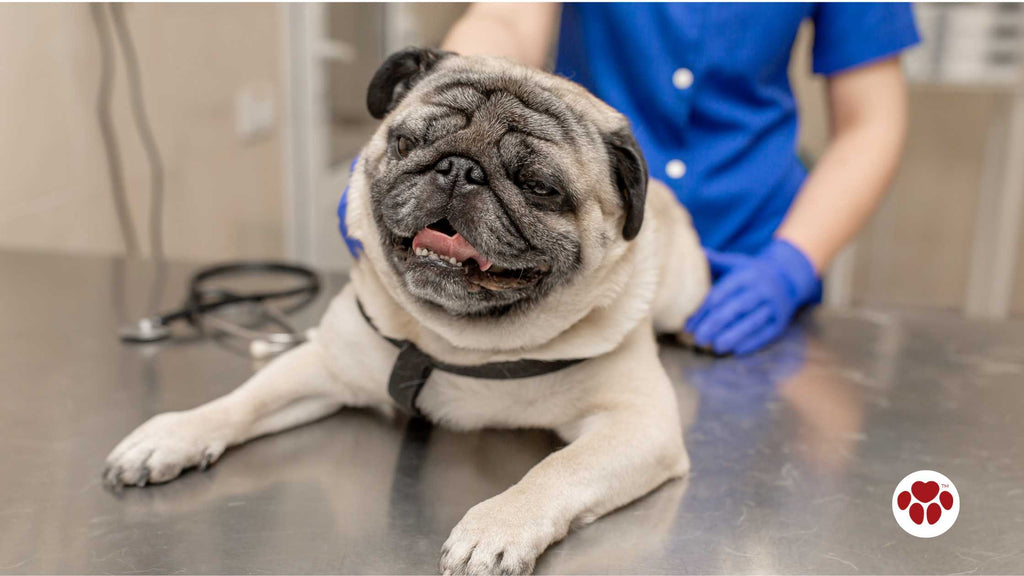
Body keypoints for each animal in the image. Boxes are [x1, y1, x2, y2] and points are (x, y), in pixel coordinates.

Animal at [105, 47, 712, 569]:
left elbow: (558, 468)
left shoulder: (638, 422)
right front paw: (173, 435)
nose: (461, 170)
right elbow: (242, 402)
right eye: (404, 143)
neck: (459, 343)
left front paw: (498, 525)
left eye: (540, 187)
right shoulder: (324, 366)